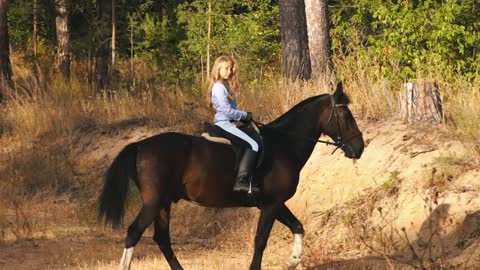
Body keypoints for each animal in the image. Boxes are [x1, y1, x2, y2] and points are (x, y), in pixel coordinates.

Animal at [99, 81, 366, 268]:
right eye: (345, 115)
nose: (359, 148)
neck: (284, 144)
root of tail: (140, 145)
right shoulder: (271, 204)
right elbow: (260, 240)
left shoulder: (273, 204)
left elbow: (297, 226)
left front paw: (293, 261)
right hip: (153, 202)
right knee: (134, 233)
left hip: (164, 203)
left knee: (162, 239)